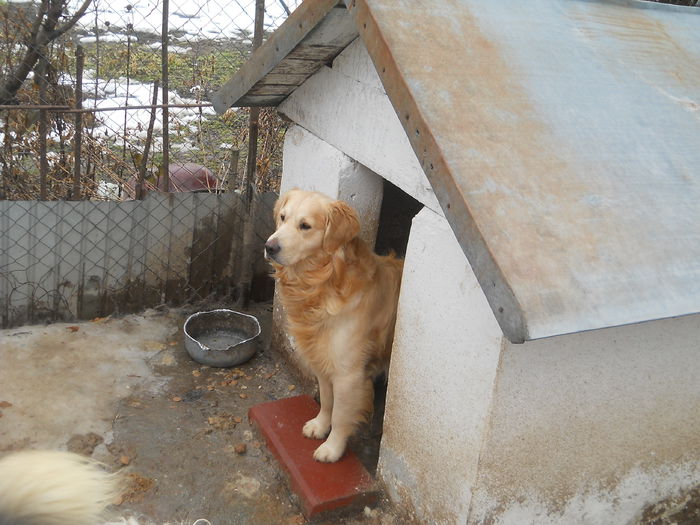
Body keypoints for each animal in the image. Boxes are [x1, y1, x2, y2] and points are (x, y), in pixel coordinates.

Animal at [264, 190, 404, 460]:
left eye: (305, 226)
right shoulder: (322, 361)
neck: (321, 283)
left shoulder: (348, 375)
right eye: (283, 217)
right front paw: (320, 426)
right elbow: (327, 401)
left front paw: (332, 448)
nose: (269, 247)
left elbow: (340, 414)